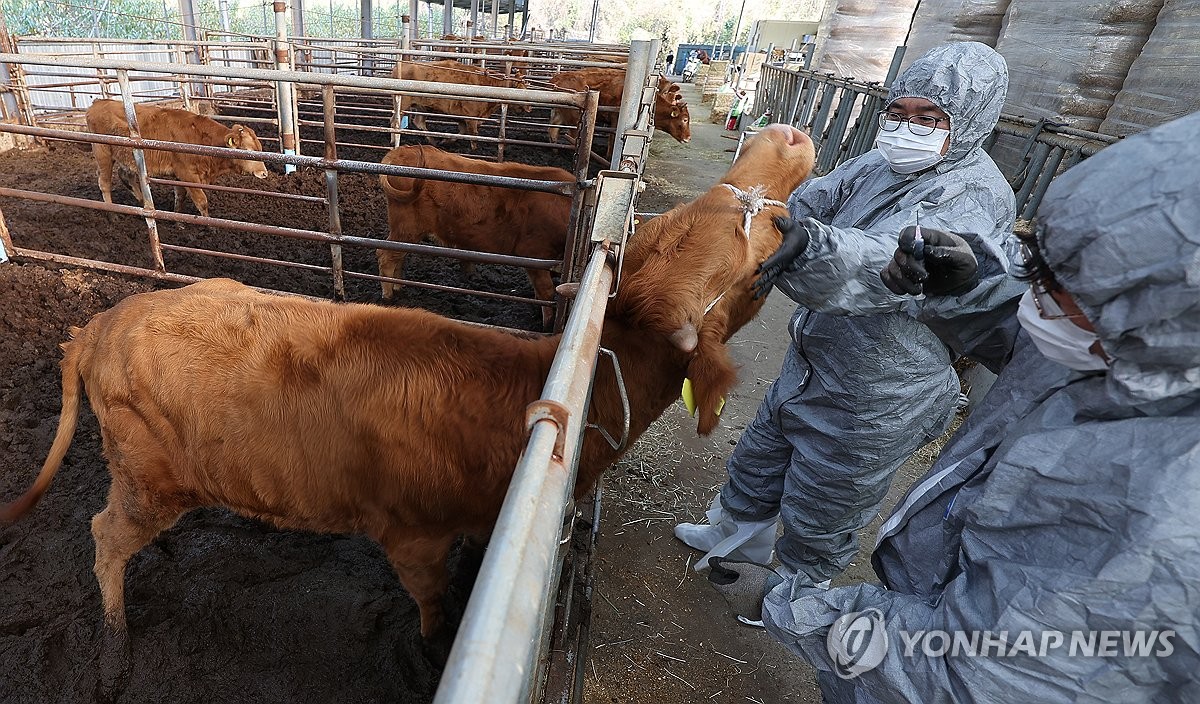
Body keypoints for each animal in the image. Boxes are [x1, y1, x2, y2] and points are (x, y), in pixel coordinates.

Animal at [0, 126, 816, 671]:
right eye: (754, 264)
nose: (786, 138)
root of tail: (99, 323)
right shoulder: (413, 533)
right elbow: (431, 603)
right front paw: (431, 647)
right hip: (150, 479)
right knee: (104, 537)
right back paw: (115, 631)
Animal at [87, 97, 270, 217]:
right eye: (248, 150)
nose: (264, 173)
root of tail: (98, 103)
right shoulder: (187, 175)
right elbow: (201, 201)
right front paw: (210, 226)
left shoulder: (179, 175)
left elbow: (180, 197)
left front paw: (179, 222)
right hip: (102, 153)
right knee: (104, 183)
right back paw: (113, 214)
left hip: (128, 158)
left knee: (125, 175)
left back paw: (142, 202)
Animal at [393, 59, 530, 148]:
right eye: (520, 88)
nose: (530, 107)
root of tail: (399, 66)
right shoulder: (471, 118)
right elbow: (474, 135)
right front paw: (474, 150)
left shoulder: (463, 118)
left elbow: (461, 133)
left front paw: (446, 141)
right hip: (402, 104)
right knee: (395, 121)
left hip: (423, 107)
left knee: (419, 122)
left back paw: (433, 142)